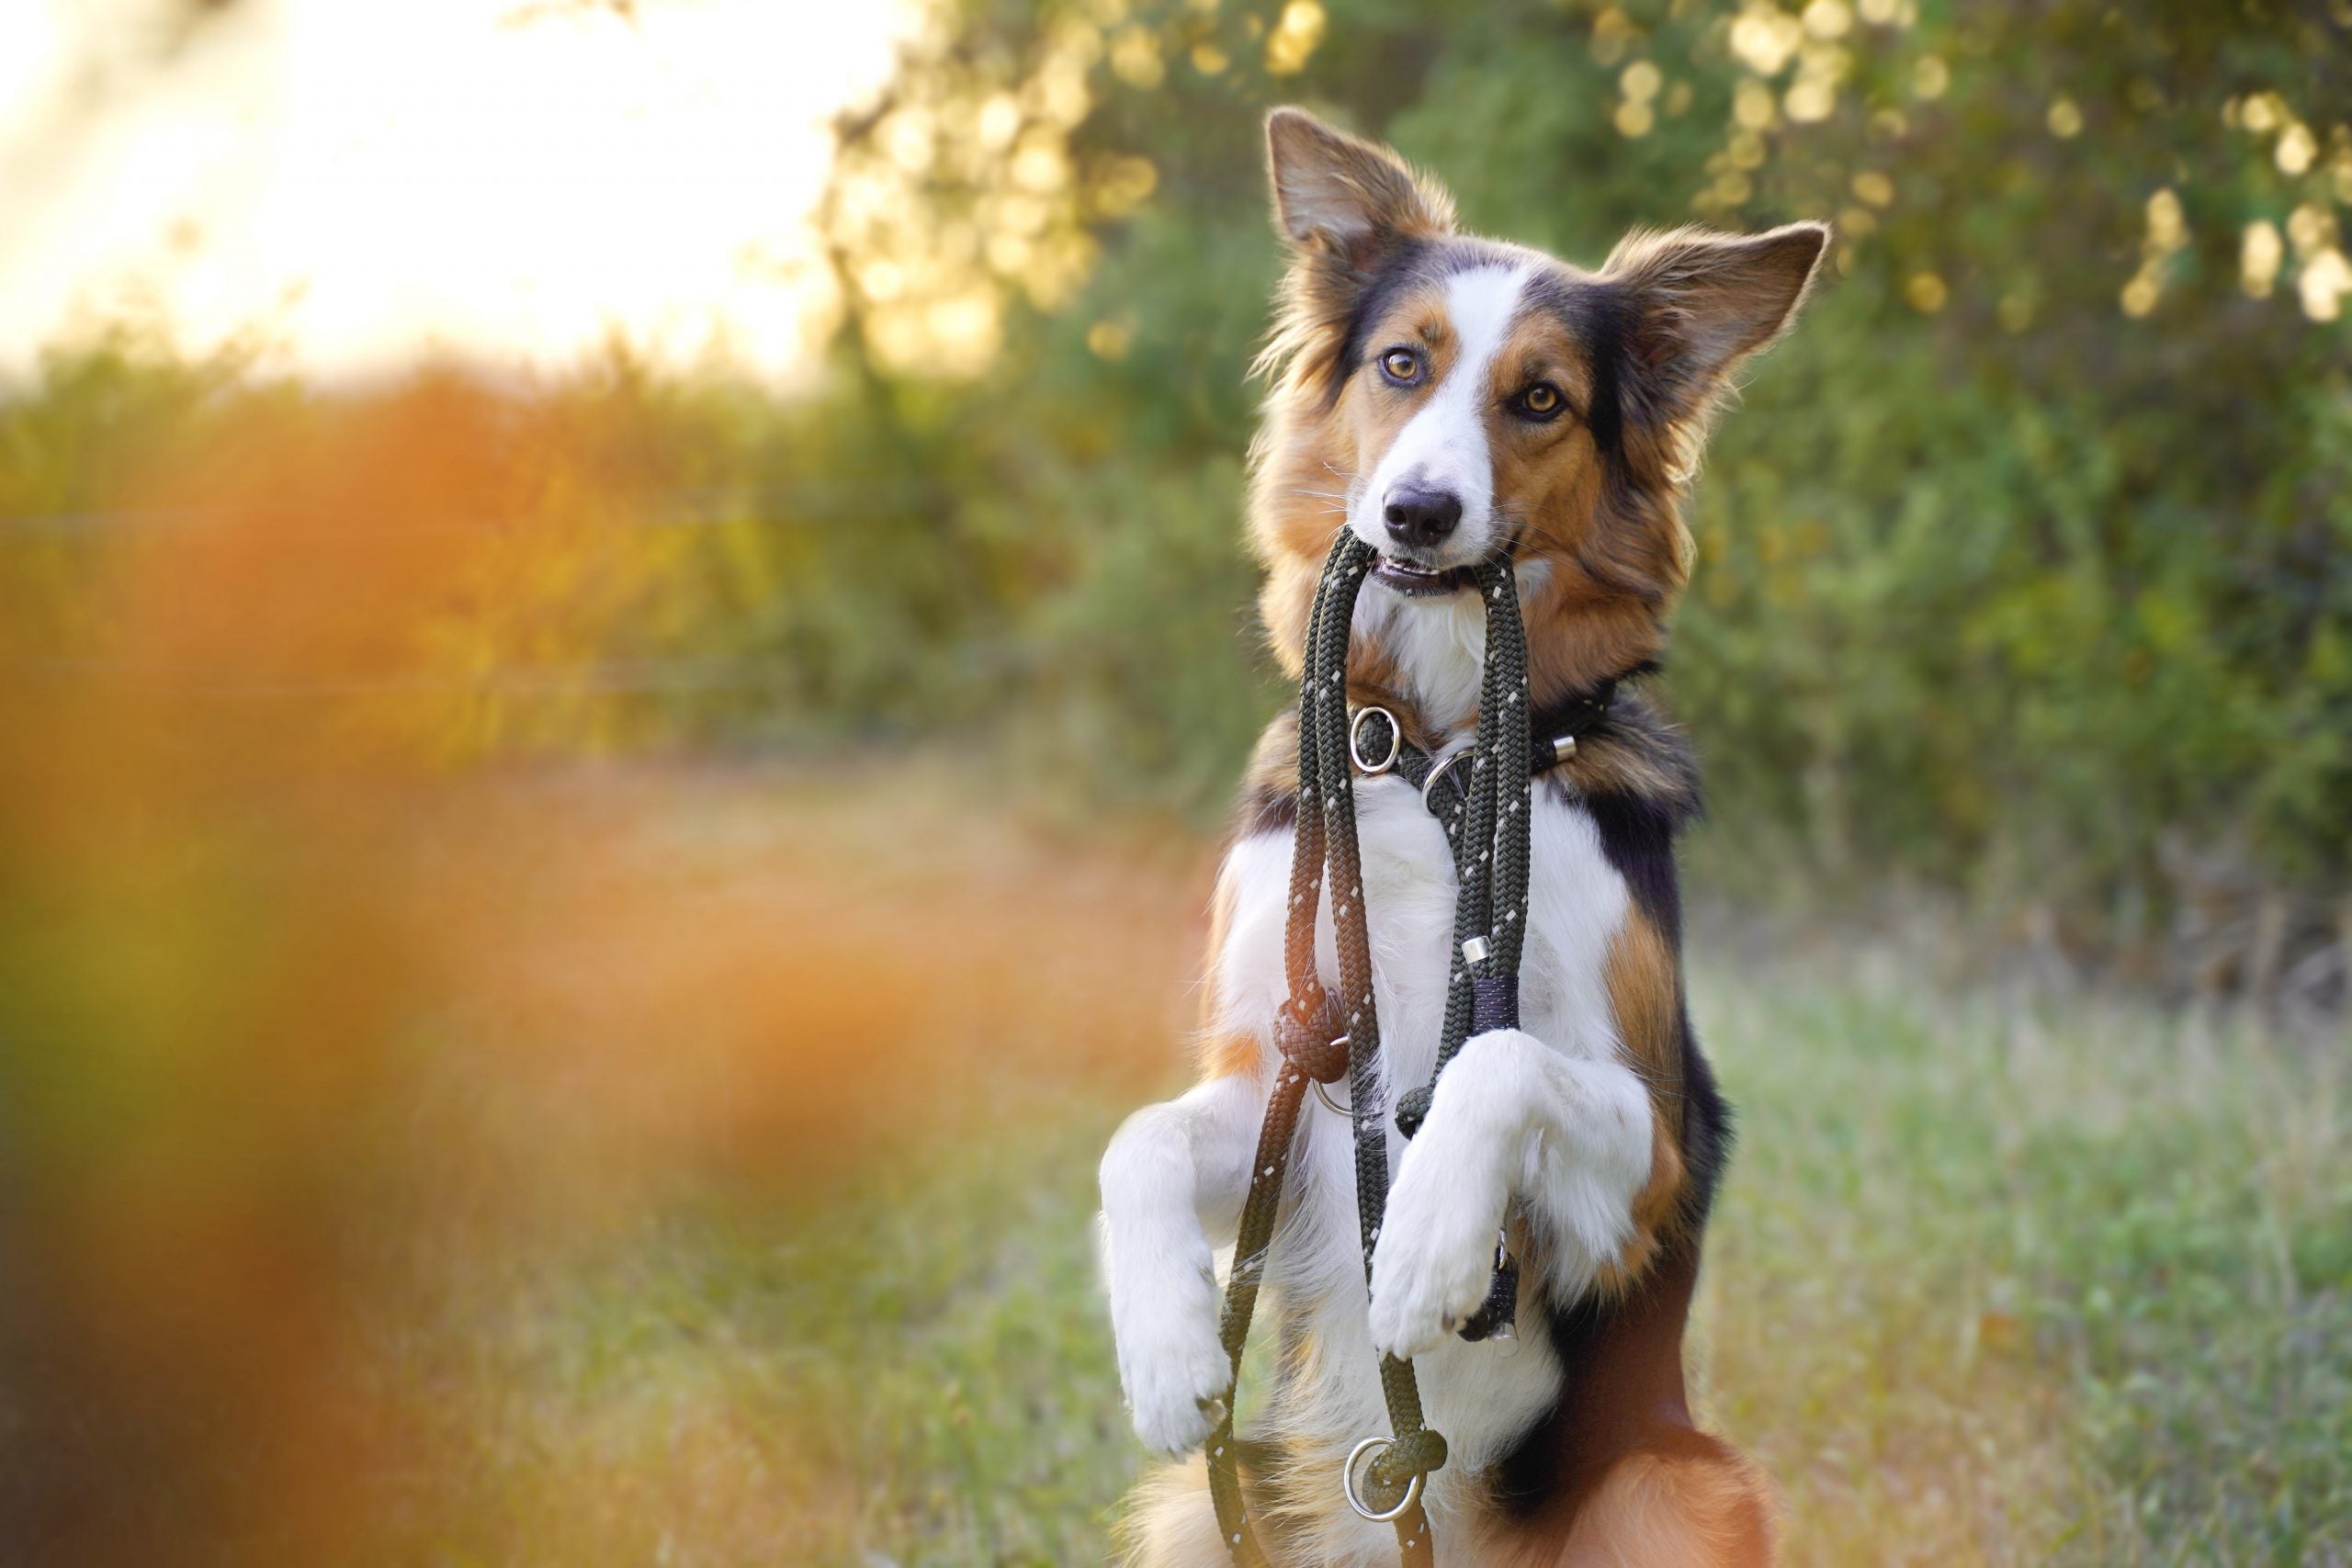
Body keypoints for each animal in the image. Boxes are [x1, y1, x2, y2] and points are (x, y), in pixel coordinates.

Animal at [1091, 104, 1825, 1561]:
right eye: (1401, 363)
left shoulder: (1650, 1146)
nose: (1417, 513)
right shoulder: (1284, 1073)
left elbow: (1495, 1062)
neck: (1436, 759)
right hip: (1209, 1510)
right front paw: (1165, 1348)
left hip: (1681, 1485)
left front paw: (1430, 1237)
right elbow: (1135, 1135)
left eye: (1541, 399)